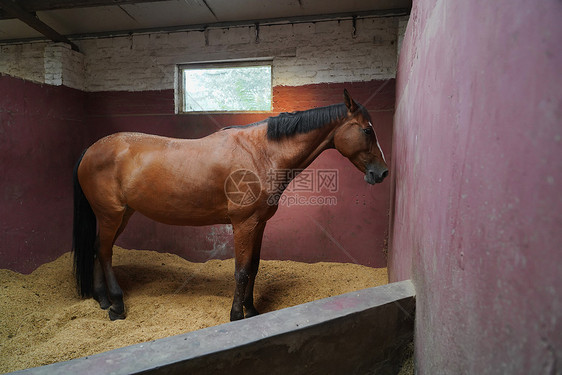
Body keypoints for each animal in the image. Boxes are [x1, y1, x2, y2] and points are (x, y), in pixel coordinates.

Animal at [72, 89, 388, 322]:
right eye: (367, 131)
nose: (382, 173)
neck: (260, 153)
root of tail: (90, 150)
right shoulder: (243, 224)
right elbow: (241, 270)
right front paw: (237, 315)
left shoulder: (259, 224)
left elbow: (254, 267)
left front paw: (252, 309)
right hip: (111, 215)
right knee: (104, 251)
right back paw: (117, 305)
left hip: (121, 215)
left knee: (100, 249)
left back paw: (103, 300)